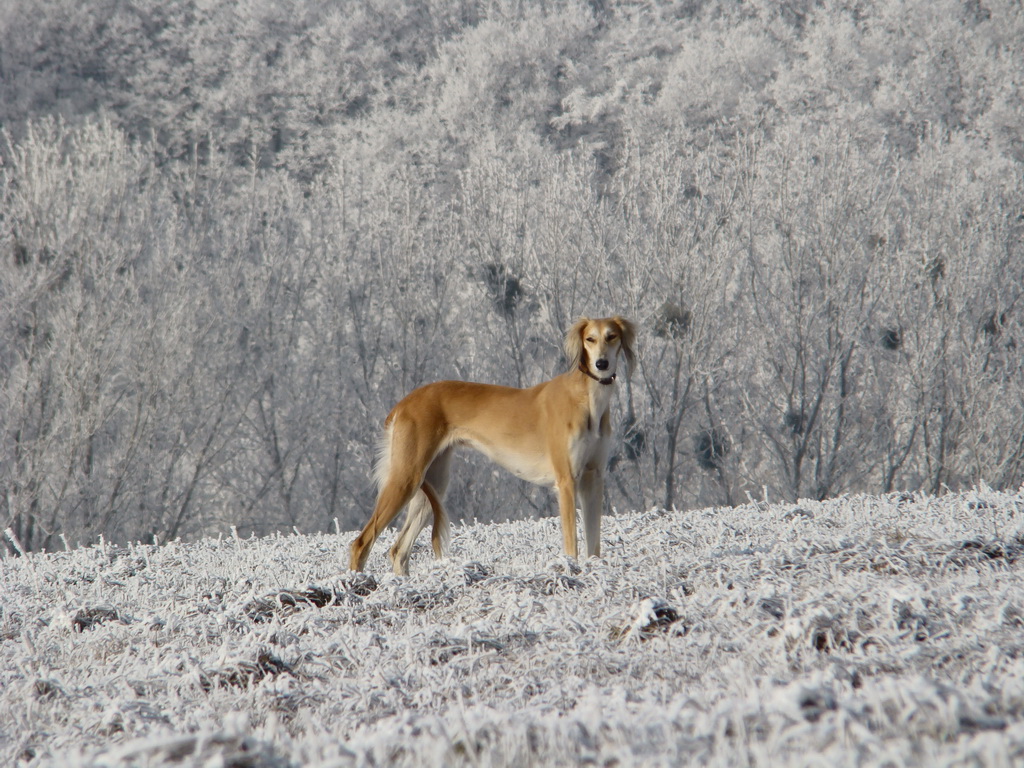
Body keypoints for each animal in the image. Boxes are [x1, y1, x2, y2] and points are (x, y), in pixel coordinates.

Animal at [352, 315, 634, 573]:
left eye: (611, 336)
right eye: (590, 339)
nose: (601, 364)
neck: (587, 399)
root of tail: (404, 403)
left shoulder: (593, 478)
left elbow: (593, 542)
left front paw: (594, 570)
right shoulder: (566, 481)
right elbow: (572, 543)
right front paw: (571, 569)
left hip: (432, 483)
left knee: (399, 550)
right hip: (405, 478)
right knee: (361, 542)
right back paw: (358, 584)